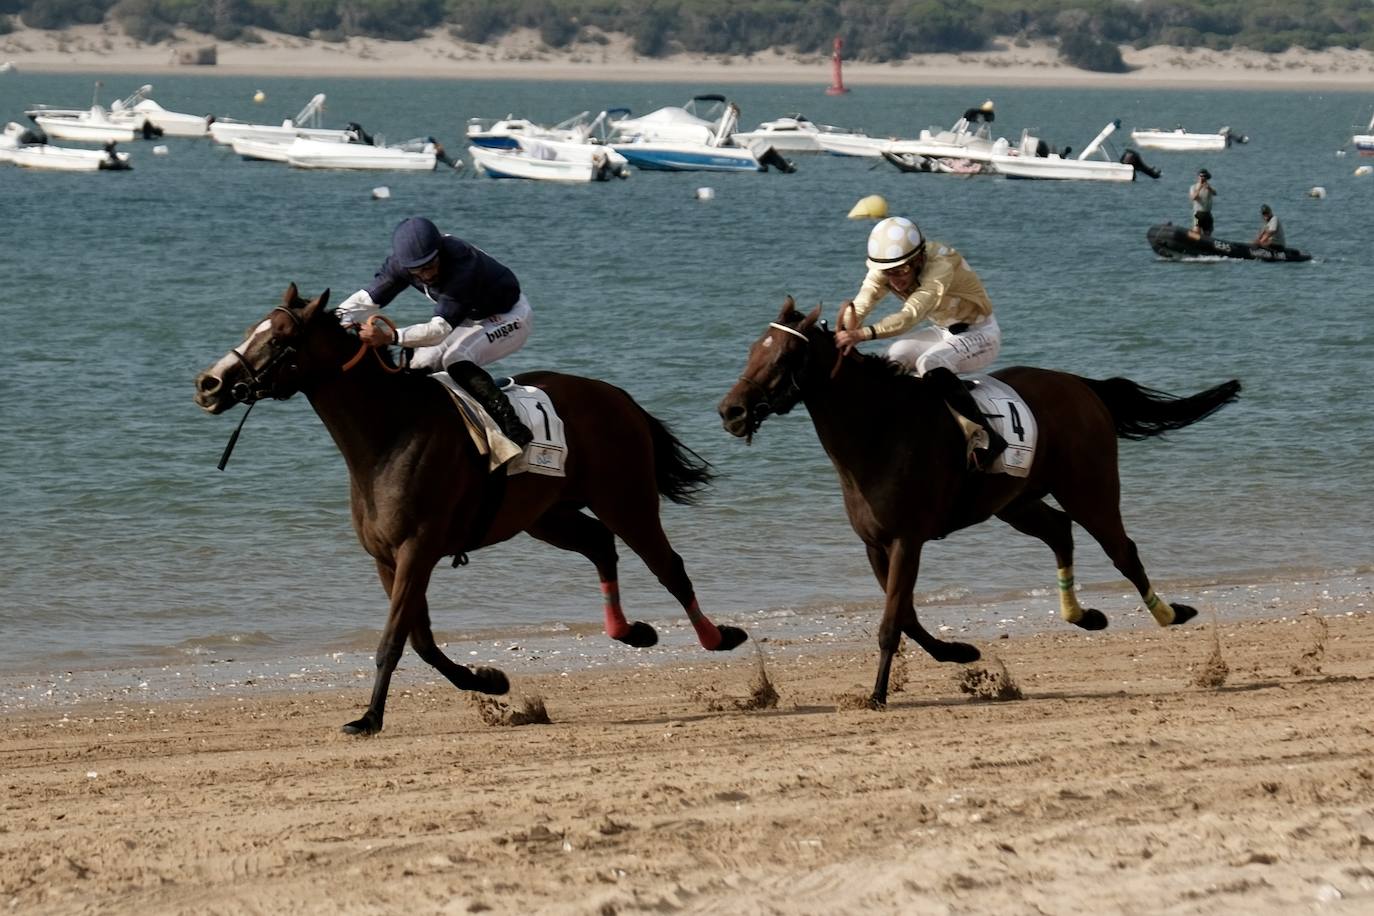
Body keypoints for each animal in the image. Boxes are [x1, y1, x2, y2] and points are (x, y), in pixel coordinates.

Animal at [194, 285, 747, 734]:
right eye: (252, 329)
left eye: (281, 338)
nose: (209, 384)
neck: (389, 431)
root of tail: (620, 398)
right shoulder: (388, 559)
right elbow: (420, 640)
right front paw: (489, 680)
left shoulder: (418, 550)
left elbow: (393, 641)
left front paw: (368, 718)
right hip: (547, 515)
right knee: (599, 545)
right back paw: (630, 632)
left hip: (625, 498)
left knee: (667, 566)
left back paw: (718, 637)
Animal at [717, 298, 1240, 708]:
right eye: (752, 348)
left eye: (785, 355)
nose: (731, 411)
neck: (878, 430)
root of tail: (1080, 385)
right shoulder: (875, 543)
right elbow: (905, 615)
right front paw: (960, 652)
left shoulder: (908, 539)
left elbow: (891, 621)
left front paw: (878, 694)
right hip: (1016, 501)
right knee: (1059, 531)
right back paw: (1084, 615)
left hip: (1089, 488)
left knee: (1121, 550)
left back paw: (1170, 614)